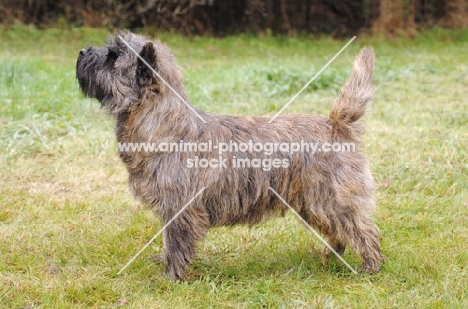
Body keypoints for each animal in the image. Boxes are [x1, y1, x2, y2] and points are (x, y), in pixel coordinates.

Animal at [77, 30, 382, 280]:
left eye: (113, 56)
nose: (81, 52)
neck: (165, 126)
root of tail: (336, 124)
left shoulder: (180, 208)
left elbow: (176, 243)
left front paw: (171, 278)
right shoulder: (170, 208)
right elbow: (167, 240)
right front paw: (164, 262)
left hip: (331, 199)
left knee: (362, 229)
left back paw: (370, 267)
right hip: (314, 203)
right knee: (339, 231)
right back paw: (330, 256)